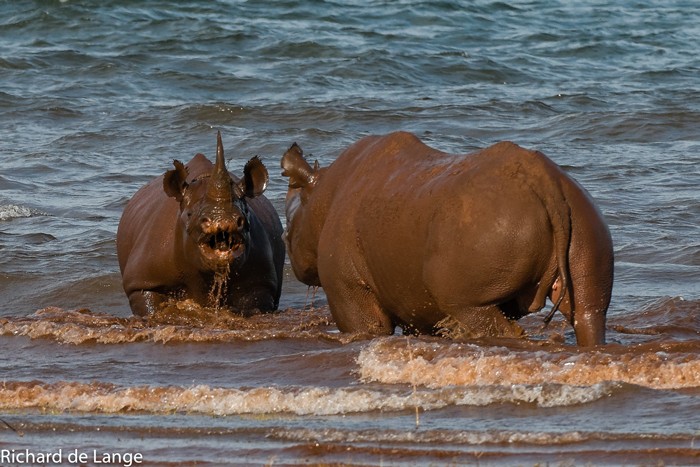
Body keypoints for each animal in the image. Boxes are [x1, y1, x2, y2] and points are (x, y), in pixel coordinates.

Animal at [117, 130, 284, 316]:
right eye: (189, 215)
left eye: (245, 214)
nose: (224, 220)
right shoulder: (142, 281)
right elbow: (149, 305)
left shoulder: (261, 282)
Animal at [282, 132, 616, 348]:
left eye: (286, 234)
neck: (320, 195)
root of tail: (546, 182)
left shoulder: (348, 287)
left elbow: (368, 327)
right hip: (582, 211)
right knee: (589, 309)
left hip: (486, 228)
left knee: (469, 309)